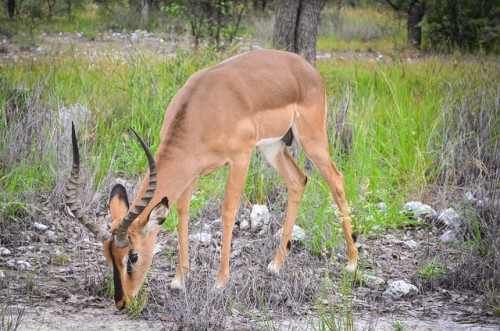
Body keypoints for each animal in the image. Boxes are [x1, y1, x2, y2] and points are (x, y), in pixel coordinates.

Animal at [66, 50, 358, 312]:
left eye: (133, 255)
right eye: (107, 255)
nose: (121, 302)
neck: (202, 109)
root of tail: (307, 69)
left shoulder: (240, 158)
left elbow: (228, 210)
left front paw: (220, 282)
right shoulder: (192, 171)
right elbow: (182, 213)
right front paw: (179, 280)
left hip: (311, 138)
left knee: (336, 179)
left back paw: (352, 263)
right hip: (273, 147)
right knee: (298, 181)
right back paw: (276, 265)